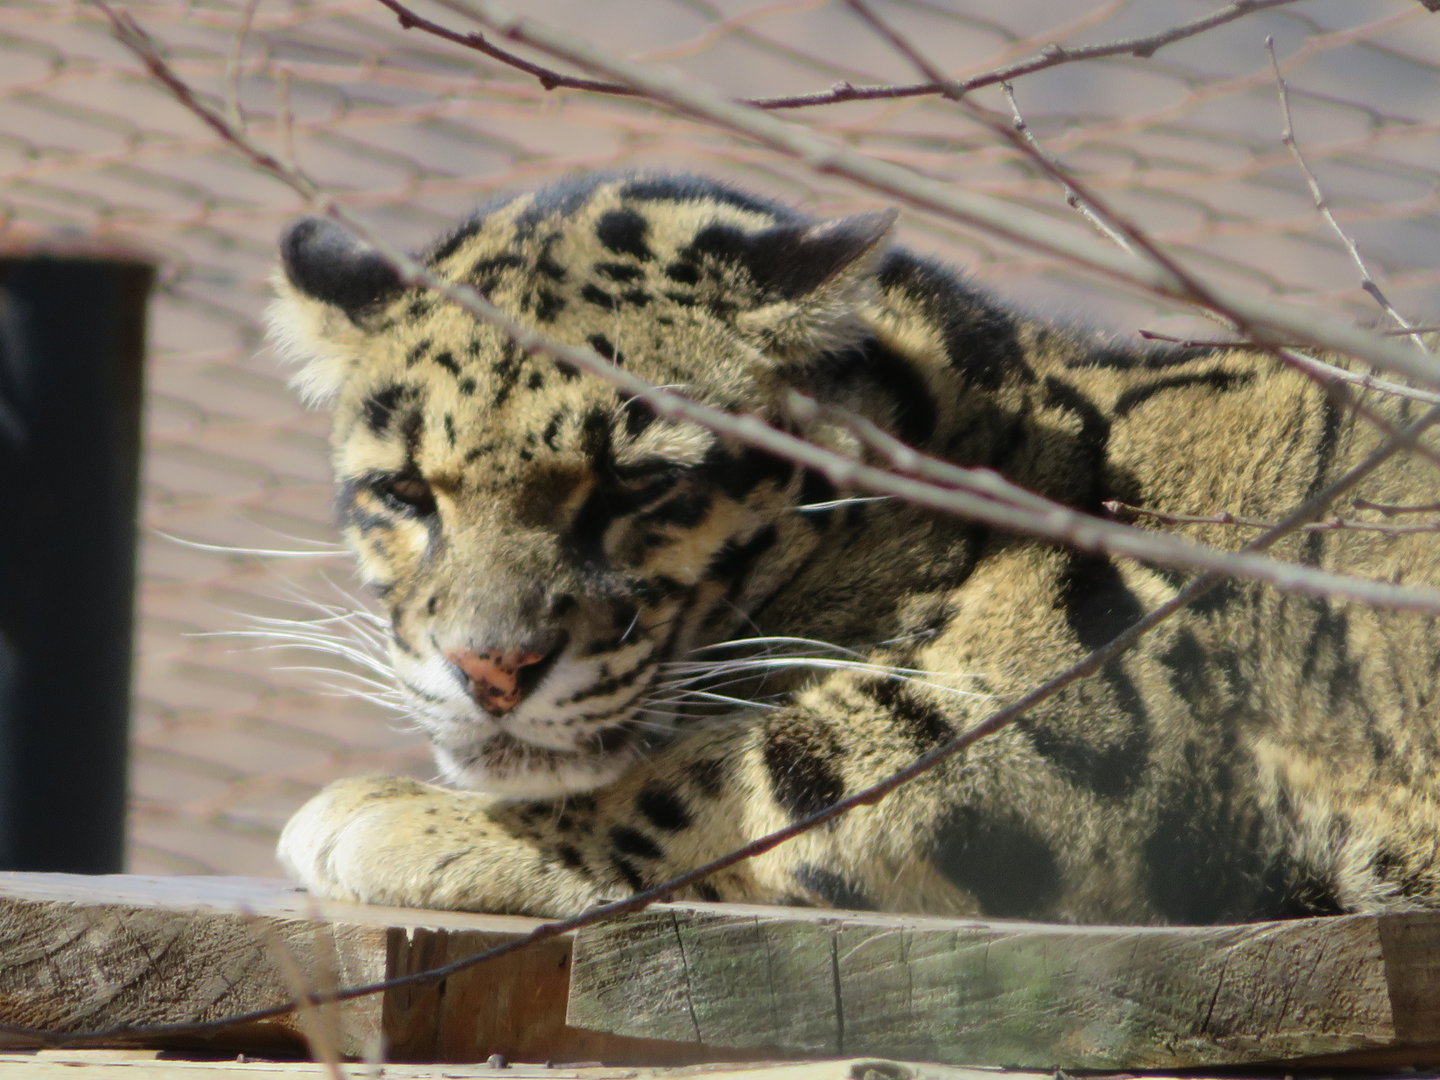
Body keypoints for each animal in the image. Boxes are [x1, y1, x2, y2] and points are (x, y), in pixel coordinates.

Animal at [269, 171, 1440, 924]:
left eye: (638, 485)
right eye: (404, 492)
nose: (491, 669)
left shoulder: (1107, 716)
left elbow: (747, 772)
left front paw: (395, 818)